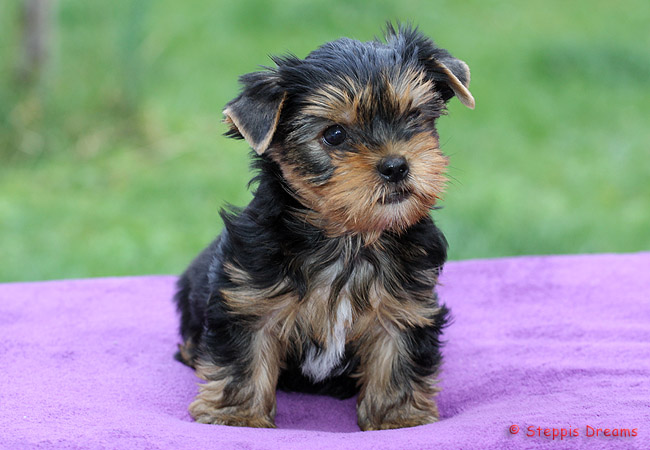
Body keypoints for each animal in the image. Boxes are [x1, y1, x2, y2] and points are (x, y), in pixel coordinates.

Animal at [174, 23, 474, 431]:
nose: (396, 165)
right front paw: (236, 416)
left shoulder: (405, 305)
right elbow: (244, 356)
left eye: (414, 117)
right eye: (334, 134)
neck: (347, 237)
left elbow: (396, 358)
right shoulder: (248, 299)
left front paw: (398, 419)